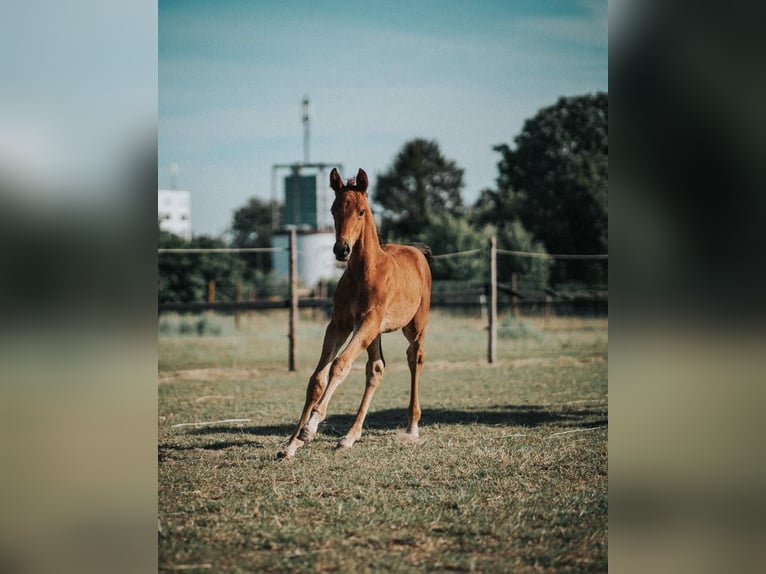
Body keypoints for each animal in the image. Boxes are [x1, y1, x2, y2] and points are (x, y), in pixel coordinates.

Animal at [278, 169, 432, 462]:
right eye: (333, 210)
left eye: (361, 211)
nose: (342, 250)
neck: (365, 272)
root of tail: (417, 251)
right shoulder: (339, 325)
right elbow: (317, 378)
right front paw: (292, 443)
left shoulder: (368, 322)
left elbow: (340, 365)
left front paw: (311, 427)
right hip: (375, 334)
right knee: (376, 369)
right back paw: (350, 436)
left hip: (414, 326)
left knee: (414, 358)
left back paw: (412, 426)